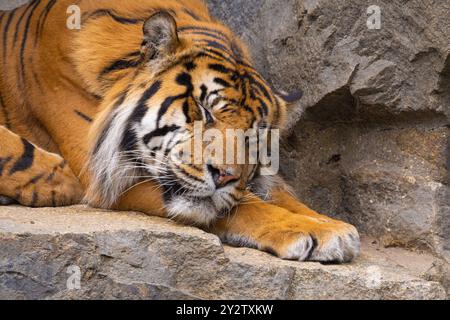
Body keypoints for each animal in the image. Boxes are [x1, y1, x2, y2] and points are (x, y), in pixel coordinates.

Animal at [0, 0, 358, 262]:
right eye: (203, 110)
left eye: (253, 138)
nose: (224, 176)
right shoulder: (105, 173)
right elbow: (248, 204)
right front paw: (314, 231)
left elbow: (277, 194)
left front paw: (332, 224)